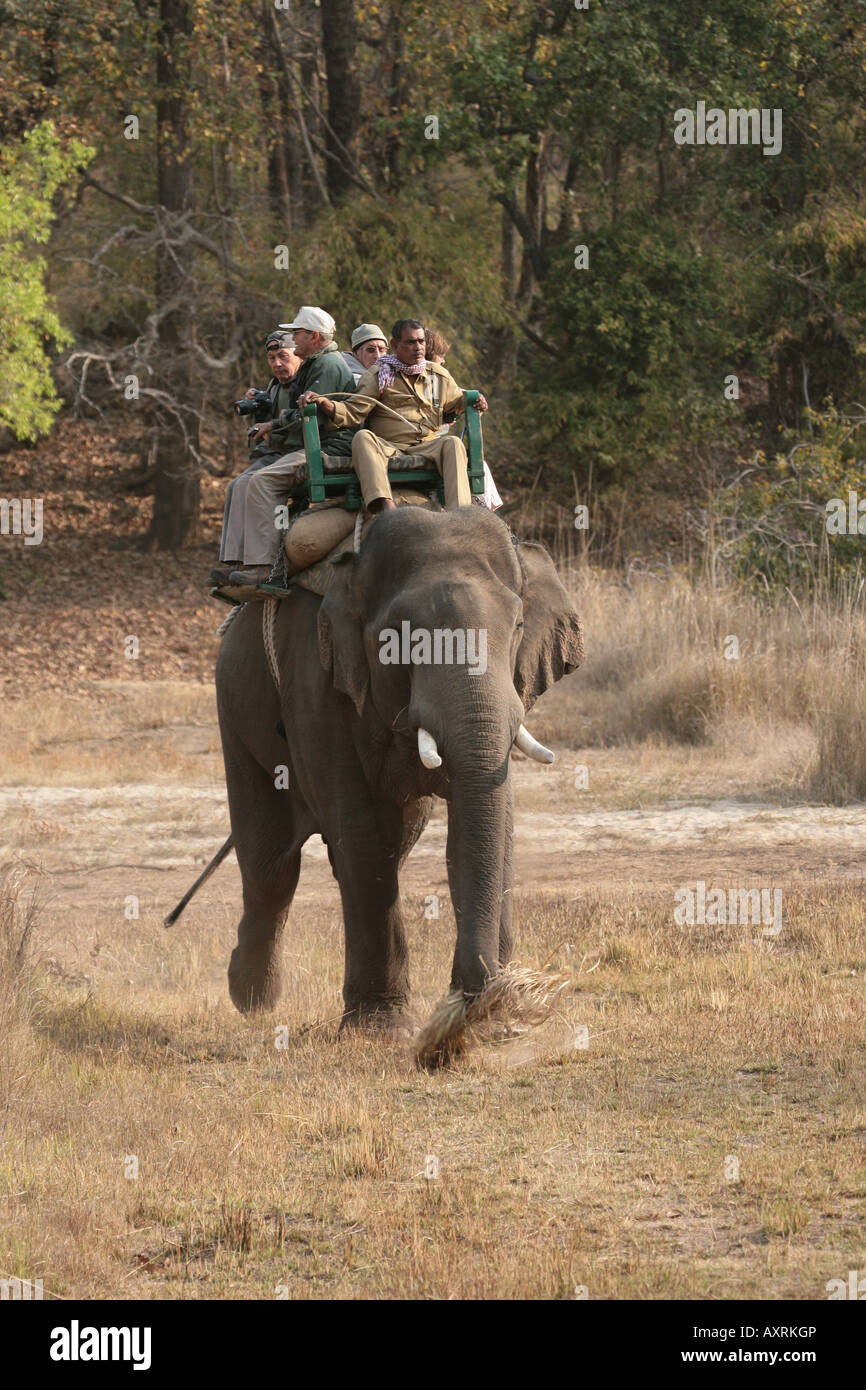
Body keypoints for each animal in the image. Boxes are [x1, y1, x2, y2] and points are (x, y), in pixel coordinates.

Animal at [214, 505, 586, 1039]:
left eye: (517, 626)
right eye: (397, 638)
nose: (476, 1001)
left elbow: (485, 828)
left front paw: (492, 1015)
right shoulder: (314, 677)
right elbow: (360, 832)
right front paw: (382, 1030)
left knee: (395, 840)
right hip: (235, 708)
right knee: (271, 863)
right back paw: (252, 998)